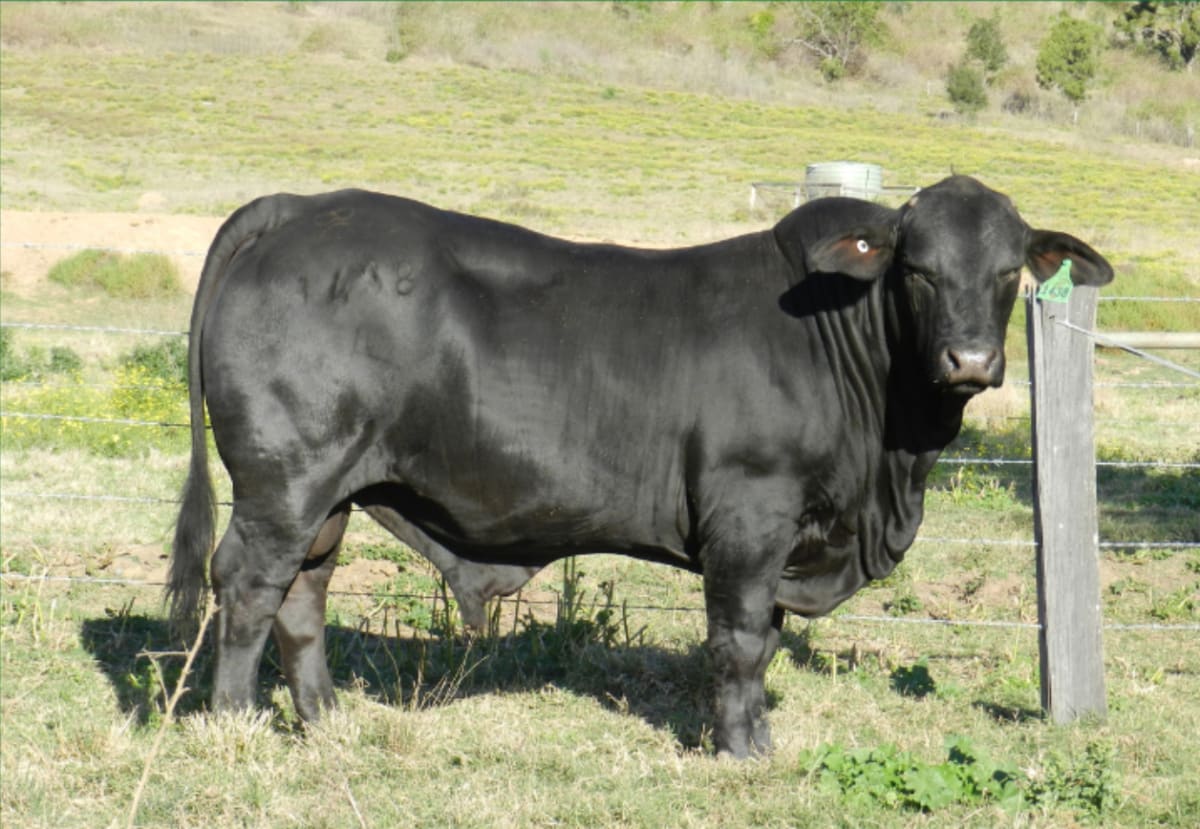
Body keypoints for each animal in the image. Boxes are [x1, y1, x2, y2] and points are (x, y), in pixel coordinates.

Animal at [167, 176, 1113, 757]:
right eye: (917, 269)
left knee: (303, 594)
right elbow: (739, 641)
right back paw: (235, 722)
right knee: (249, 585)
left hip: (328, 493)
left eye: (1006, 271)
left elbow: (766, 643)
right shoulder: (749, 518)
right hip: (284, 481)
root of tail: (301, 207)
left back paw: (324, 719)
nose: (969, 359)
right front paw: (739, 750)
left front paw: (760, 737)